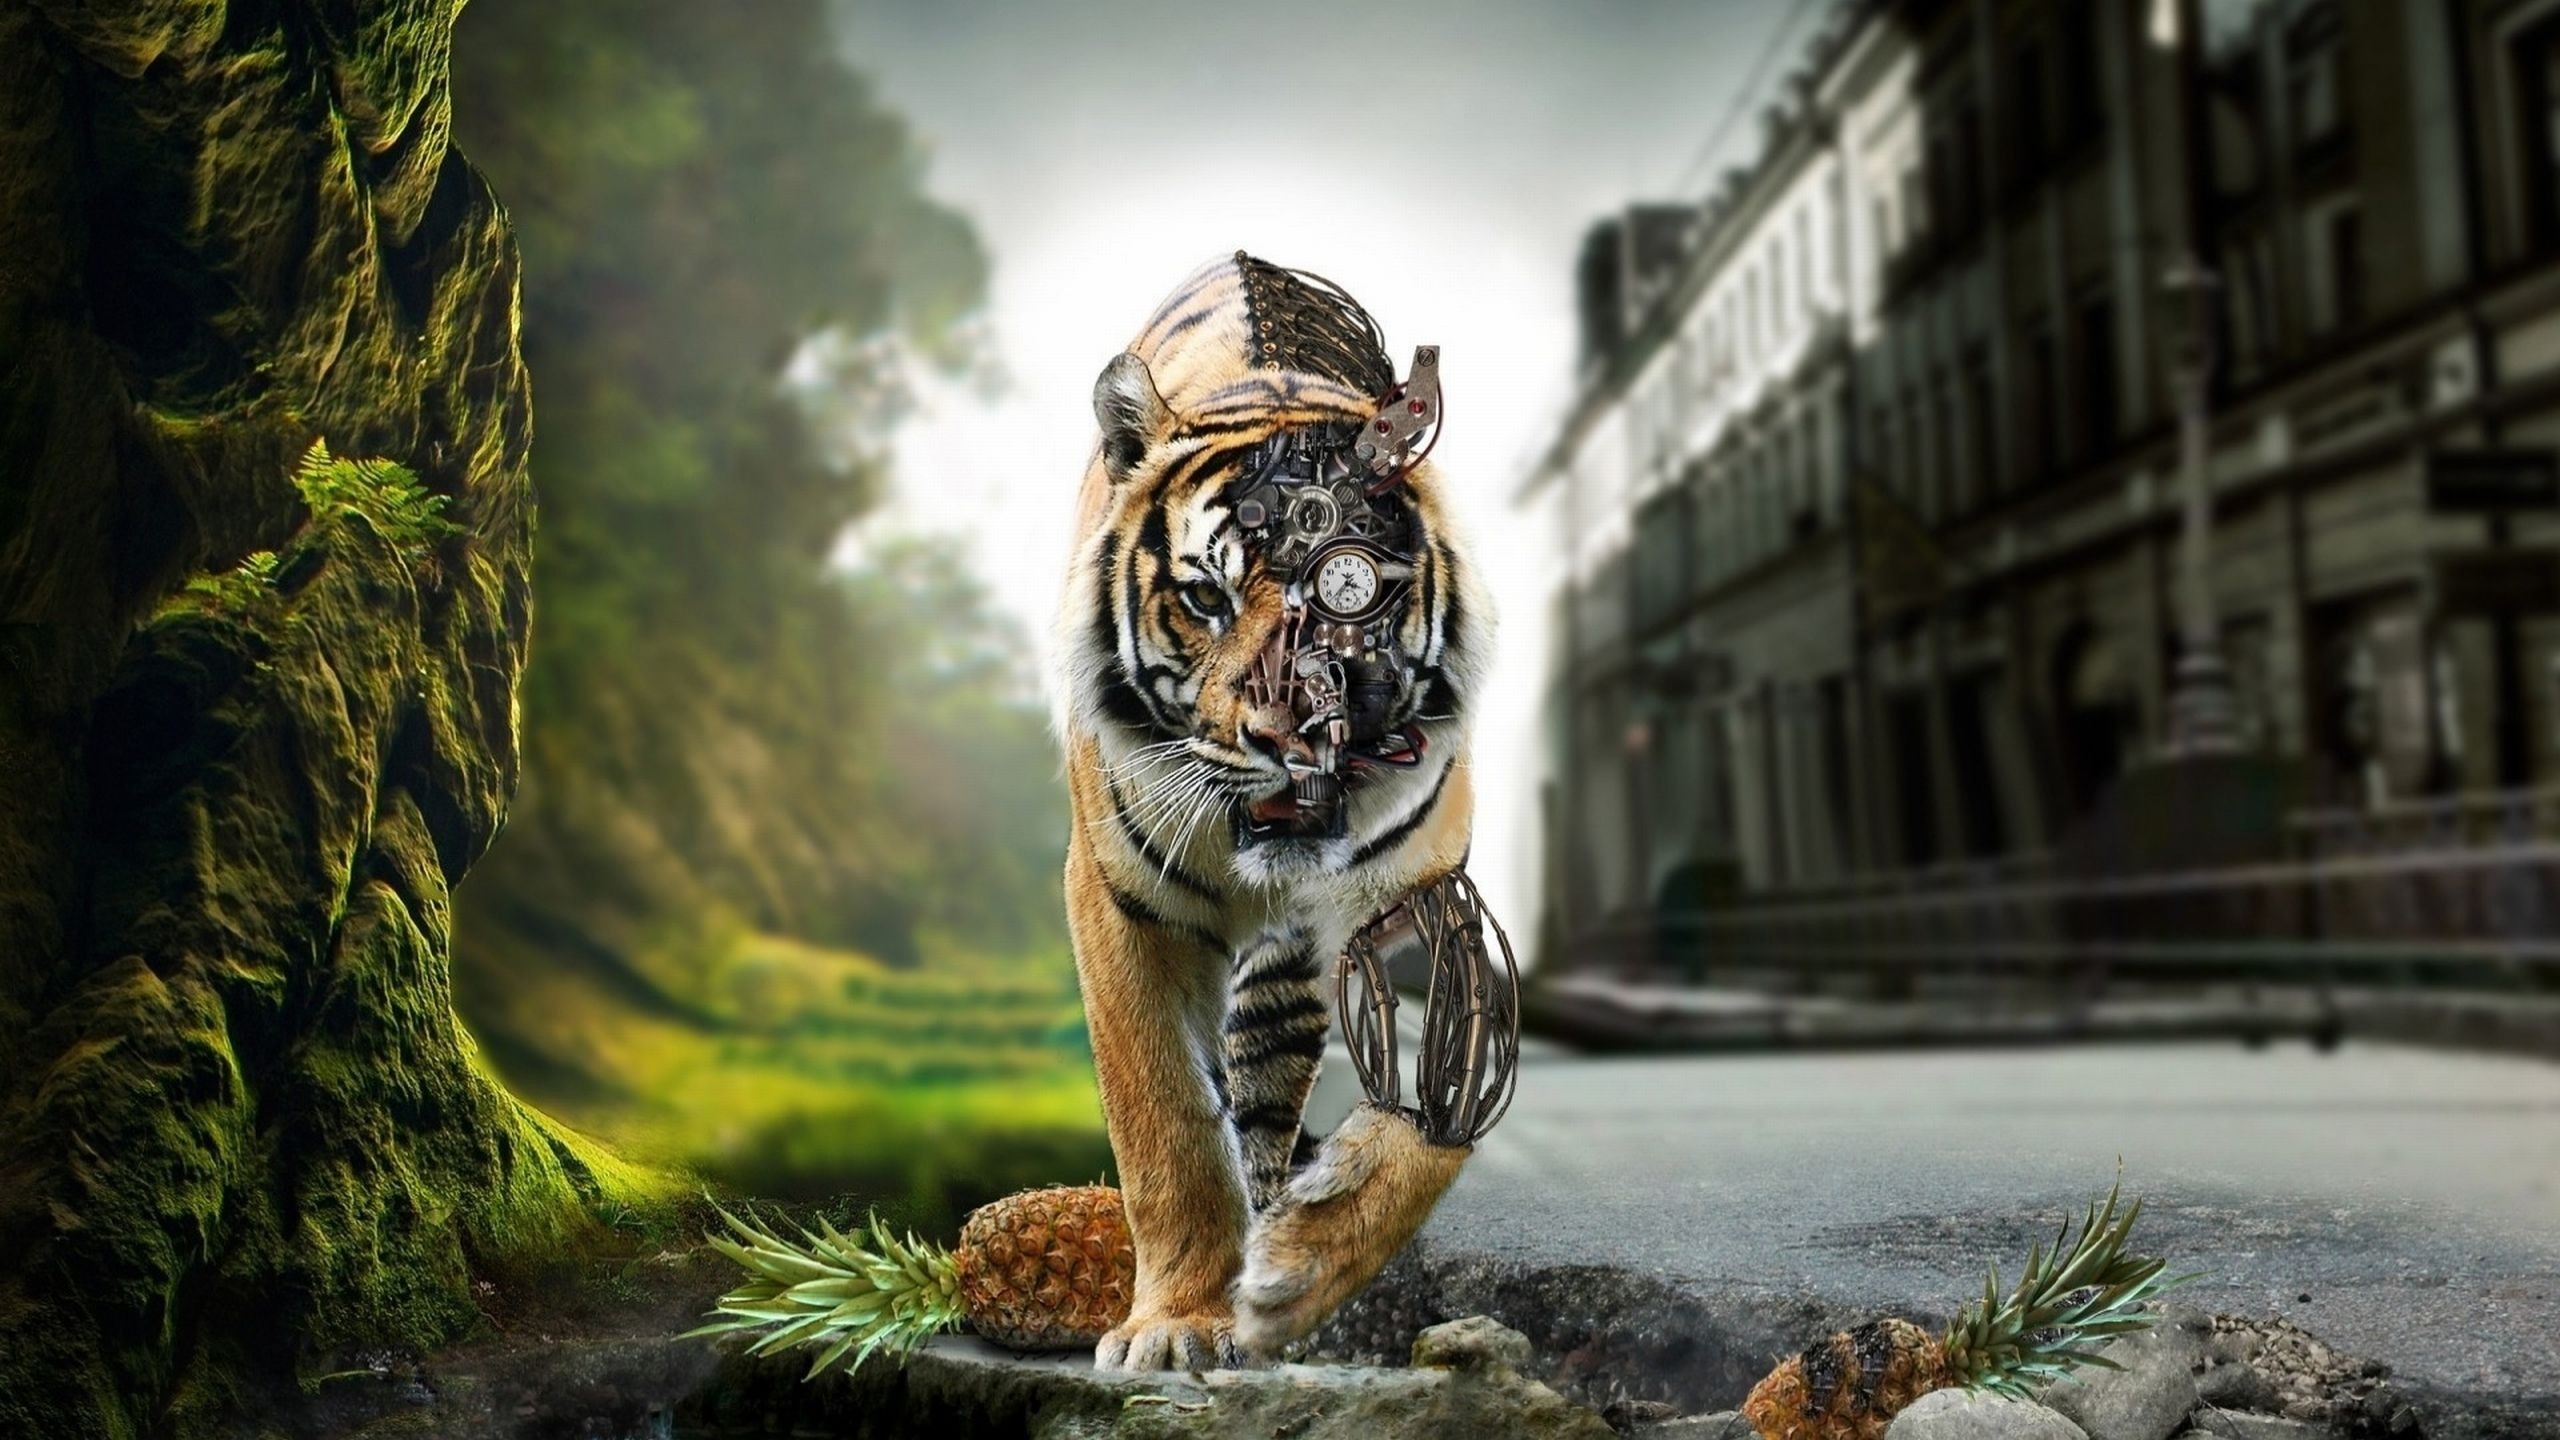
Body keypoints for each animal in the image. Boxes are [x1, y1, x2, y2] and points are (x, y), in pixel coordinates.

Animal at [1054, 252, 1492, 1369]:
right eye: (1205, 599)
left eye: (1350, 593)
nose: (1292, 738)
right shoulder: (1119, 904)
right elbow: (1163, 1121)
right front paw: (1175, 1324)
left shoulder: (1429, 900)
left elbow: (1431, 1119)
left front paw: (1300, 1268)